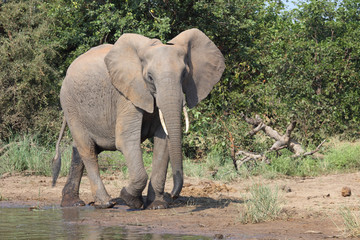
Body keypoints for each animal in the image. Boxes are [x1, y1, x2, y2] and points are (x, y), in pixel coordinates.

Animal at [52, 27, 224, 208]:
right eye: (150, 77)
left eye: (184, 74)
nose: (173, 195)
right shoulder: (127, 94)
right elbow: (126, 139)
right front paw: (130, 199)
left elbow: (163, 141)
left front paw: (157, 205)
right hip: (70, 104)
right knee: (87, 149)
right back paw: (106, 202)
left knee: (79, 149)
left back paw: (73, 203)